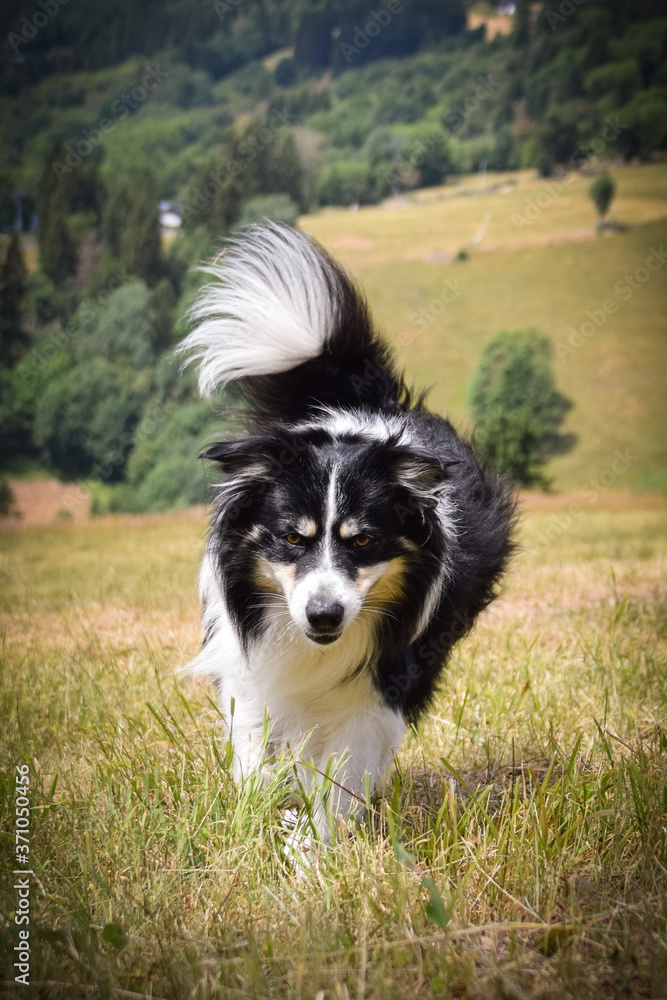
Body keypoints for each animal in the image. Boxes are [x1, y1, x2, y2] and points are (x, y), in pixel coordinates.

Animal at [179, 223, 516, 840]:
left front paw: (320, 844)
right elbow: (257, 753)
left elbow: (344, 772)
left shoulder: (380, 683)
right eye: (293, 538)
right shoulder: (248, 669)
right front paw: (259, 819)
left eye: (362, 541)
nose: (324, 616)